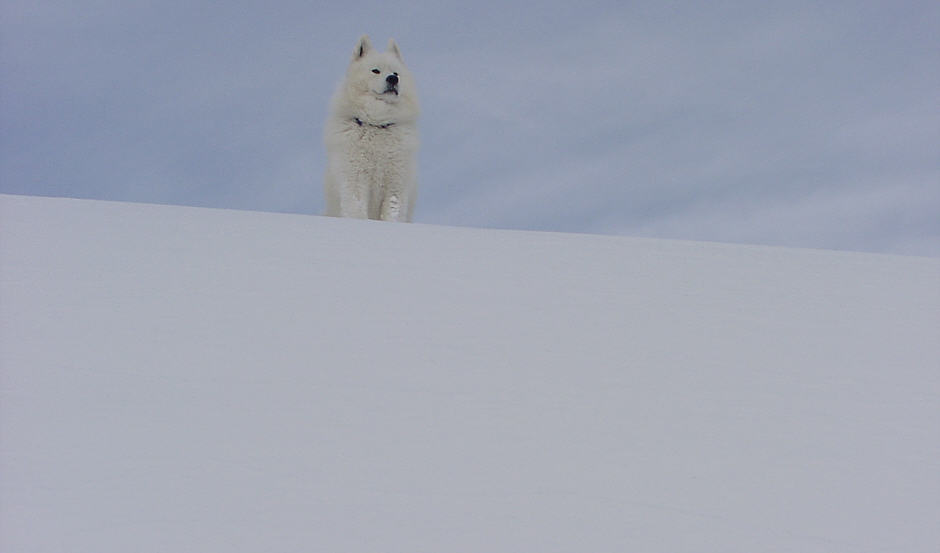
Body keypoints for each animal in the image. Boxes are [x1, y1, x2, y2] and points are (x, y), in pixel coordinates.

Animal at [326, 33, 422, 220]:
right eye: (375, 70)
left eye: (396, 72)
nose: (393, 78)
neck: (377, 124)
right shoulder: (355, 179)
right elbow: (356, 212)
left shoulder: (395, 183)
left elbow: (392, 214)